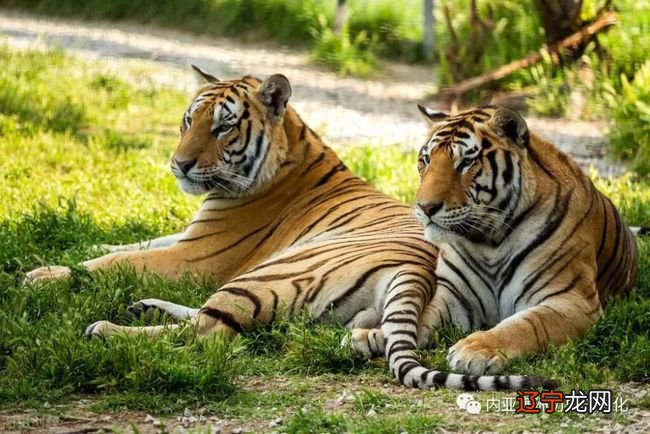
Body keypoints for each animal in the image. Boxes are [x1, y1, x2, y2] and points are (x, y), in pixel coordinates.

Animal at [25, 68, 632, 394]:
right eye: (188, 120)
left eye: (222, 127)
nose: (178, 164)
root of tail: (416, 269)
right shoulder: (183, 238)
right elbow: (119, 245)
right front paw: (63, 252)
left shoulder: (198, 255)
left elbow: (111, 262)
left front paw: (39, 275)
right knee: (210, 321)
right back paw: (138, 307)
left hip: (275, 269)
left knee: (209, 330)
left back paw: (107, 328)